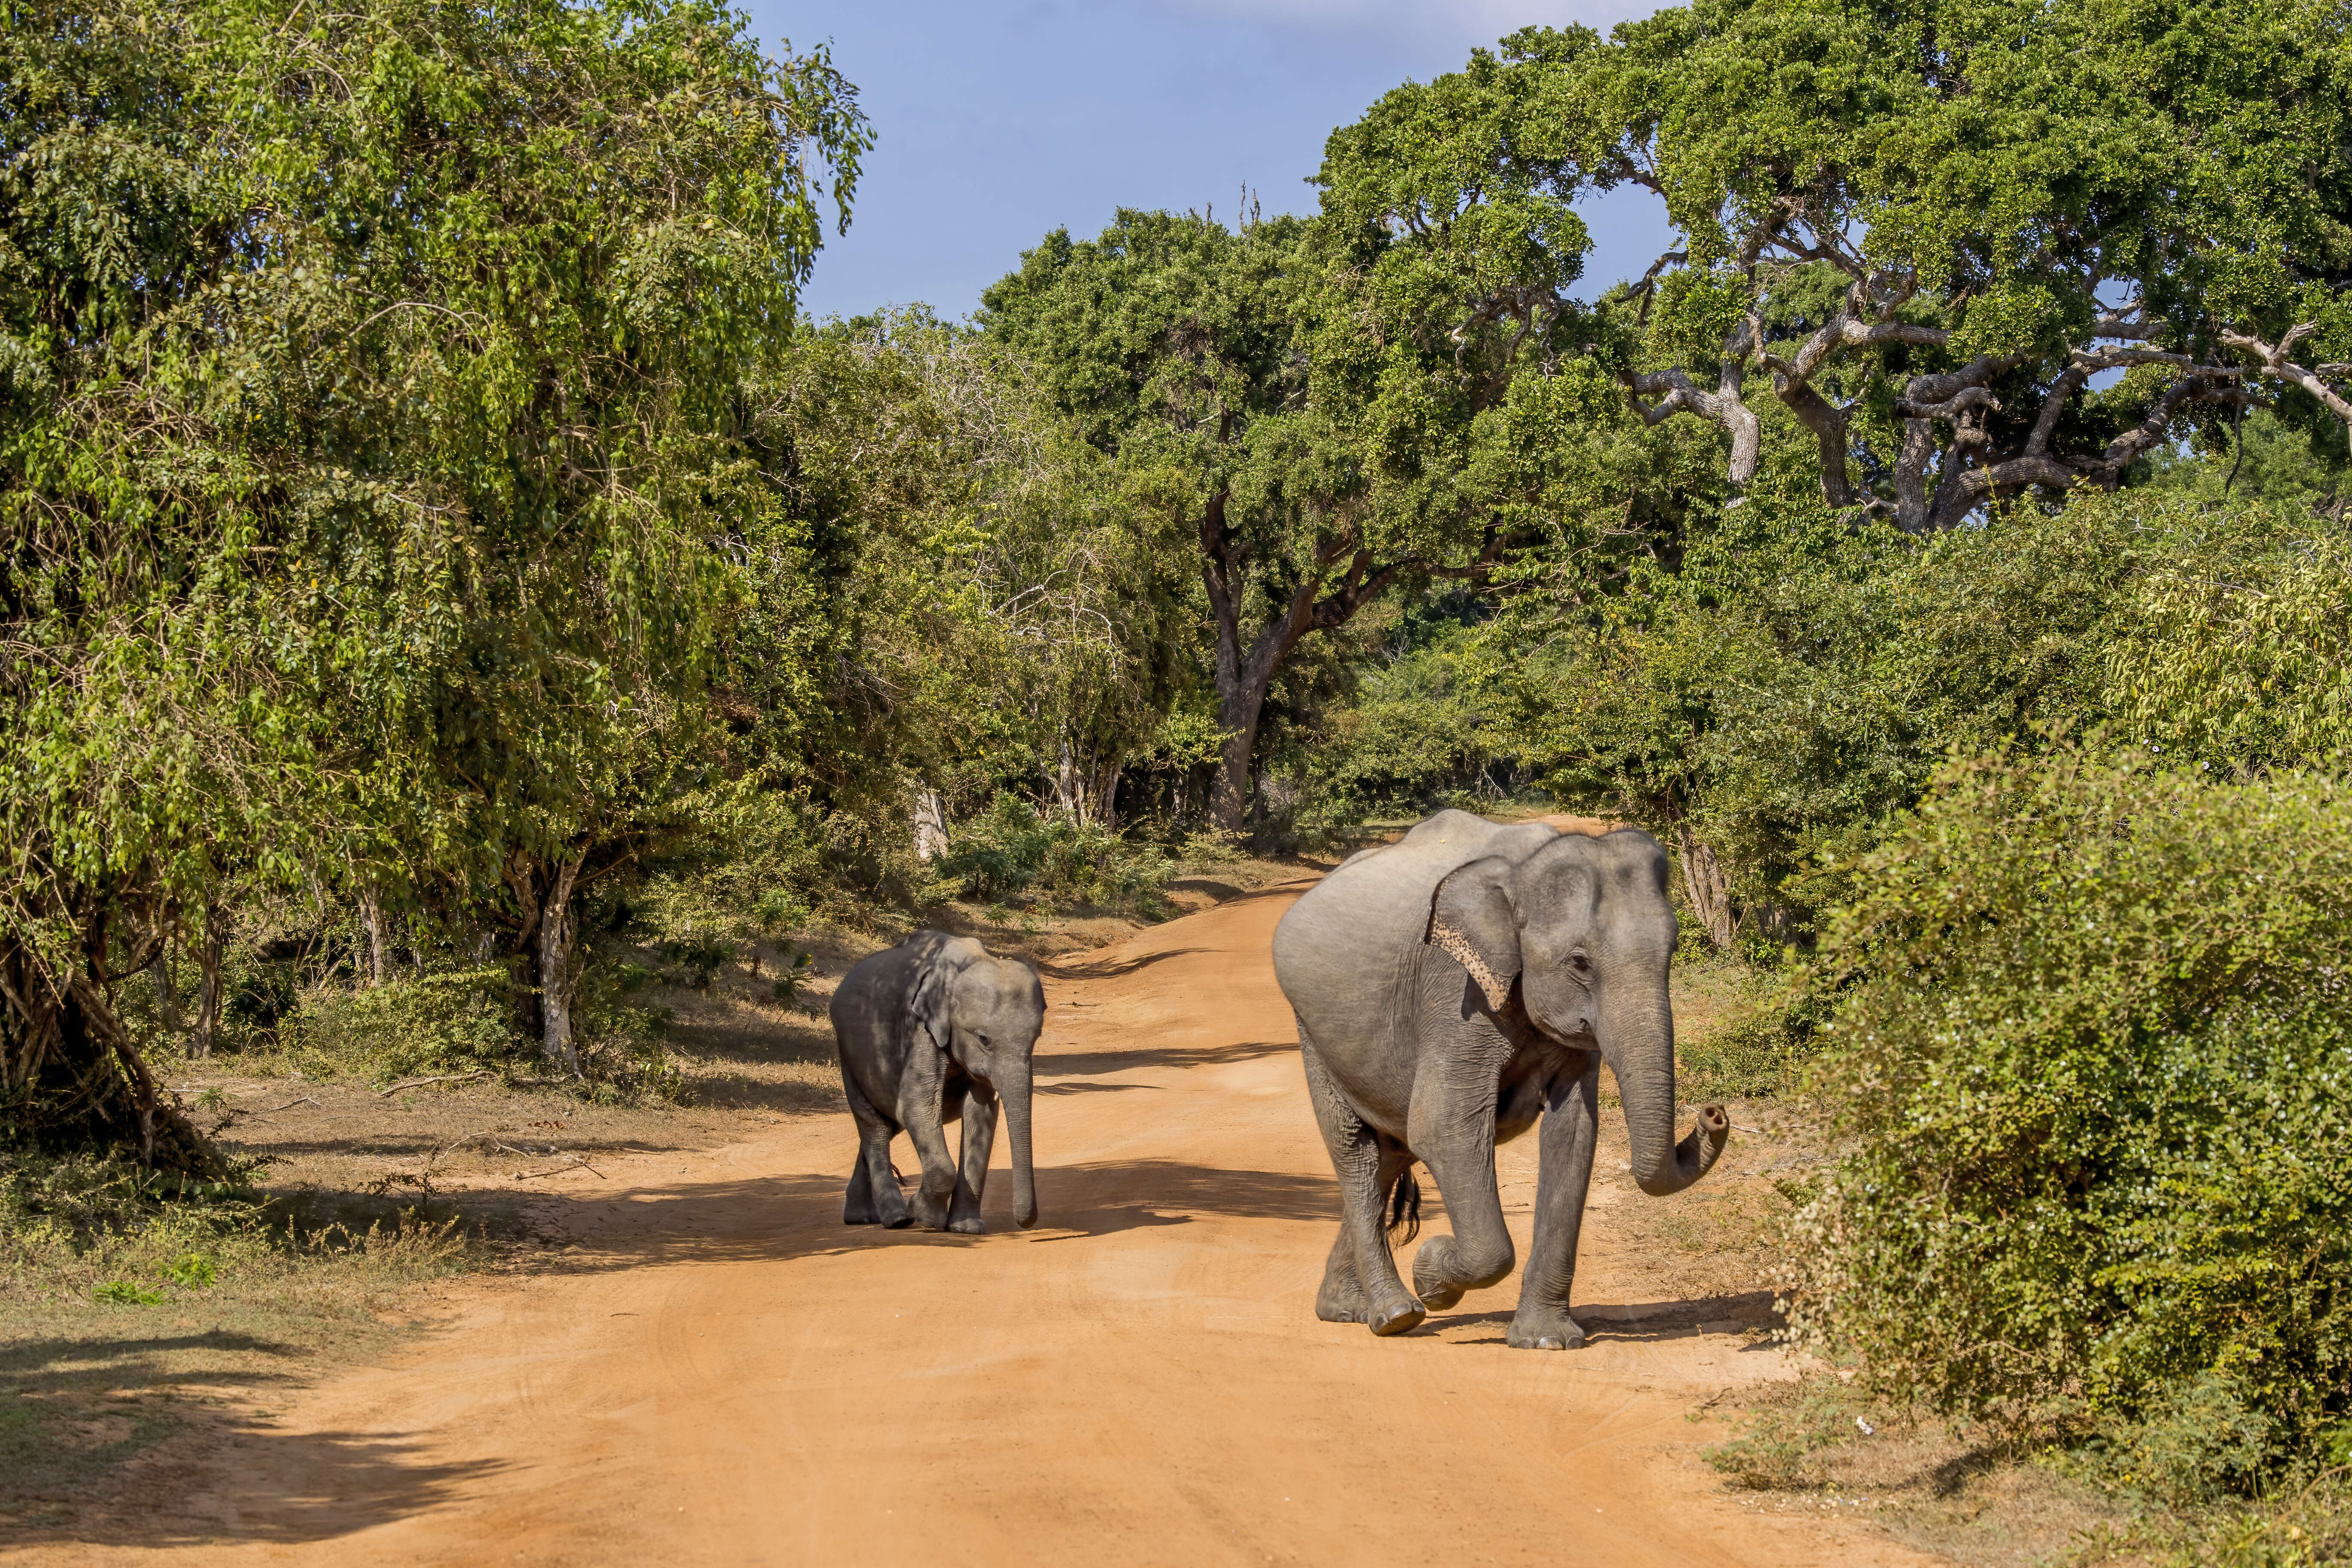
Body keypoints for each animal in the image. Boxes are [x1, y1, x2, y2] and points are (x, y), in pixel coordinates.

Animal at [833, 931, 1044, 1241]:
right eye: (983, 1039)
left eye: (1036, 1037)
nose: (1025, 1224)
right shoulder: (921, 1031)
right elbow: (915, 1107)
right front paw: (923, 1217)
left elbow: (980, 1113)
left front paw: (966, 1229)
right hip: (849, 1055)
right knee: (876, 1125)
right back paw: (896, 1218)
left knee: (889, 1124)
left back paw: (862, 1217)